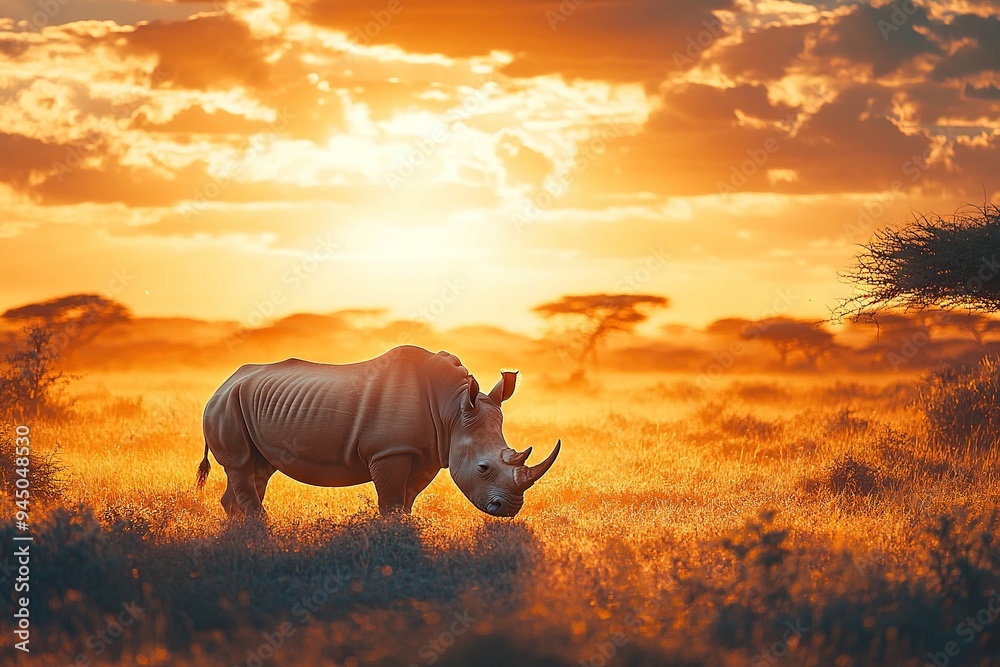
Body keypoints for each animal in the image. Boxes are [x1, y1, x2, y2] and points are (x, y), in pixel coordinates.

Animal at [197, 345, 560, 518]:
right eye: (483, 468)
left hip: (245, 403)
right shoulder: (390, 451)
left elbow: (407, 499)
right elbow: (391, 500)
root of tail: (224, 382)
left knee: (259, 468)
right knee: (241, 465)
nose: (510, 508)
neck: (453, 410)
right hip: (225, 404)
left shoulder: (428, 453)